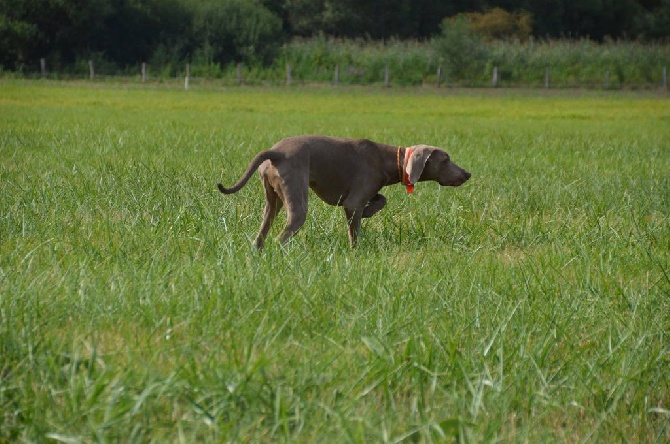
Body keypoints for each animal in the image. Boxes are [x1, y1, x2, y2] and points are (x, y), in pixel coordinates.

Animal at [220, 134, 472, 248]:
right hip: (296, 194)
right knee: (283, 234)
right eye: (446, 159)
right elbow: (355, 226)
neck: (386, 159)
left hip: (272, 197)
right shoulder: (353, 201)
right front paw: (356, 250)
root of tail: (276, 153)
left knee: (264, 228)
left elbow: (381, 199)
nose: (467, 174)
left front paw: (371, 210)